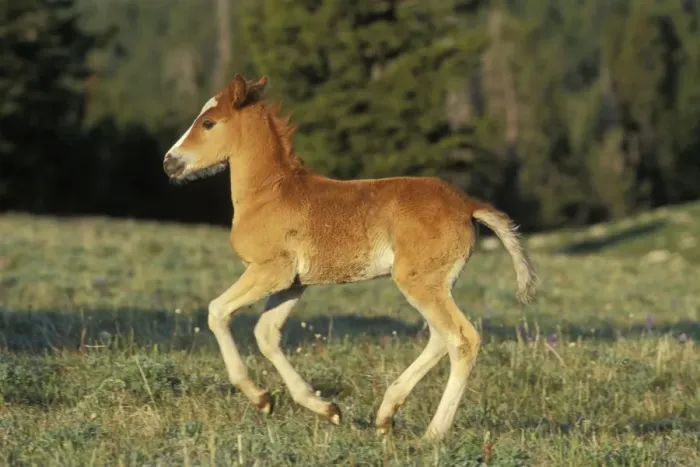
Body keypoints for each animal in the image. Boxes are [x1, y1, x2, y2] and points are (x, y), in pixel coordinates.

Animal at [162, 74, 537, 441]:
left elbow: (217, 311)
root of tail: (467, 205)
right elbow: (266, 333)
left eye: (208, 122)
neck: (269, 193)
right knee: (438, 337)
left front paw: (260, 397)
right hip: (433, 284)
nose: (169, 162)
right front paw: (324, 408)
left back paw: (433, 433)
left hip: (419, 282)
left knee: (461, 339)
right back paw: (385, 416)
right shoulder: (293, 284)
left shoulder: (271, 271)